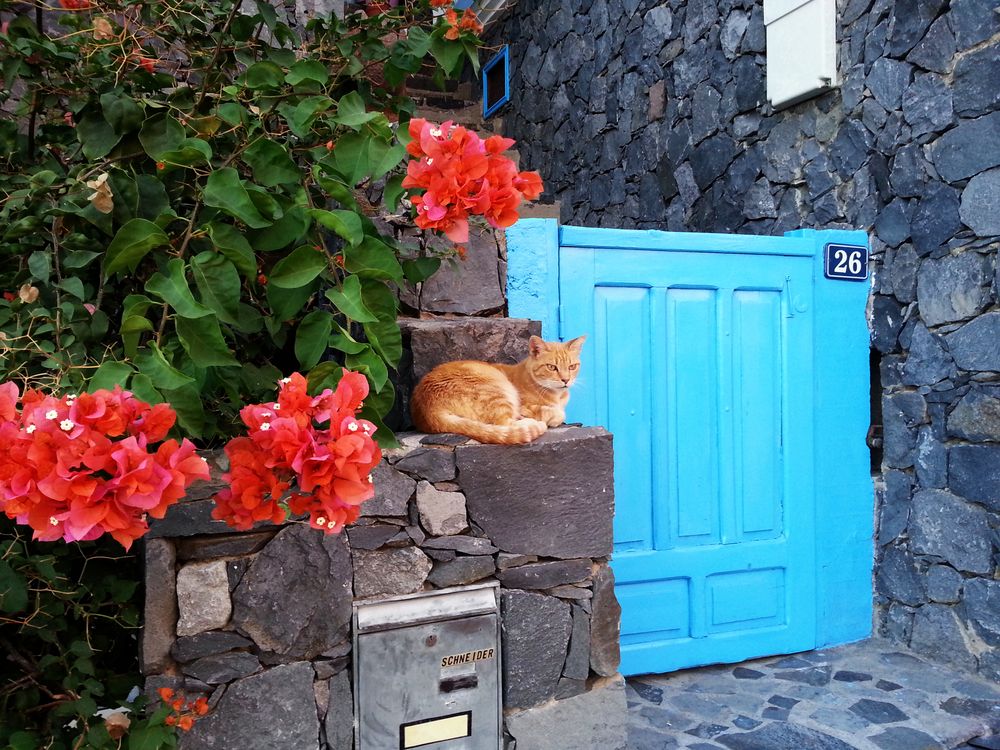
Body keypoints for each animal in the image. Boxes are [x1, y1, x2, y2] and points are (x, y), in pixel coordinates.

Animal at [410, 336, 584, 446]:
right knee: (504, 423)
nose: (566, 380)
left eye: (572, 367)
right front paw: (554, 416)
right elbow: (556, 413)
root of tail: (428, 410)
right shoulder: (526, 406)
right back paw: (529, 423)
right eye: (551, 367)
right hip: (497, 390)